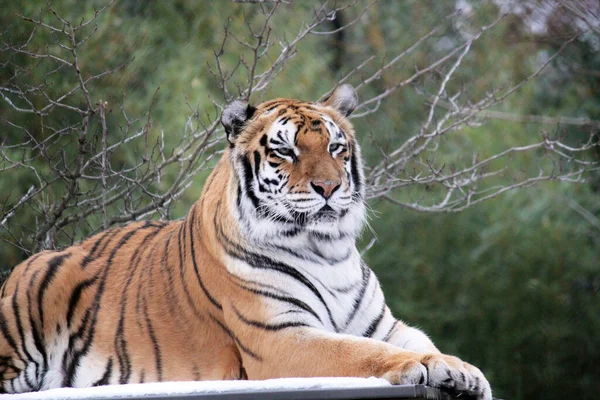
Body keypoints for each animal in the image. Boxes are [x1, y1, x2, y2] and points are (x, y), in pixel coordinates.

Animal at [0, 84, 490, 396]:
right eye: (286, 151)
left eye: (336, 148)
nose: (329, 187)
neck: (327, 250)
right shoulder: (279, 337)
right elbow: (362, 353)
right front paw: (425, 367)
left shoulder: (383, 325)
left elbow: (416, 341)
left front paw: (463, 371)